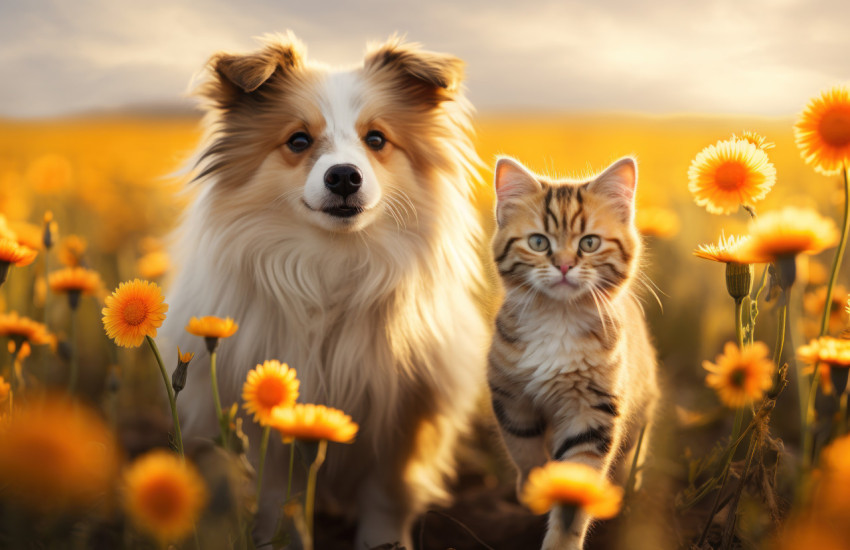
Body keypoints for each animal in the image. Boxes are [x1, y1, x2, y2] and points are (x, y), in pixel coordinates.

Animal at [161, 32, 490, 548]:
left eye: (376, 139)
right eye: (298, 140)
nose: (343, 176)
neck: (332, 264)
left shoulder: (403, 418)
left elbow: (386, 498)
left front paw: (383, 543)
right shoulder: (267, 428)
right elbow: (280, 501)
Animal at [486, 156, 660, 550]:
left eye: (589, 243)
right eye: (538, 242)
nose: (564, 264)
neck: (559, 319)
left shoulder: (593, 411)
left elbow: (576, 489)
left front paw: (561, 542)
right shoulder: (509, 395)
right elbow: (523, 449)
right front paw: (533, 490)